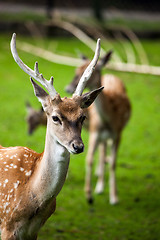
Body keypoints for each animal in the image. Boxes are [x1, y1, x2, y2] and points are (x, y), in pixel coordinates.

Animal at [65, 50, 131, 204]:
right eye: (76, 70)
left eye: (90, 71)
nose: (68, 88)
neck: (109, 120)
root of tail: (111, 75)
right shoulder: (94, 132)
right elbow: (89, 158)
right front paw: (89, 195)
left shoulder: (118, 134)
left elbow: (113, 163)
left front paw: (114, 197)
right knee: (102, 150)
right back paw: (99, 183)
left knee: (105, 151)